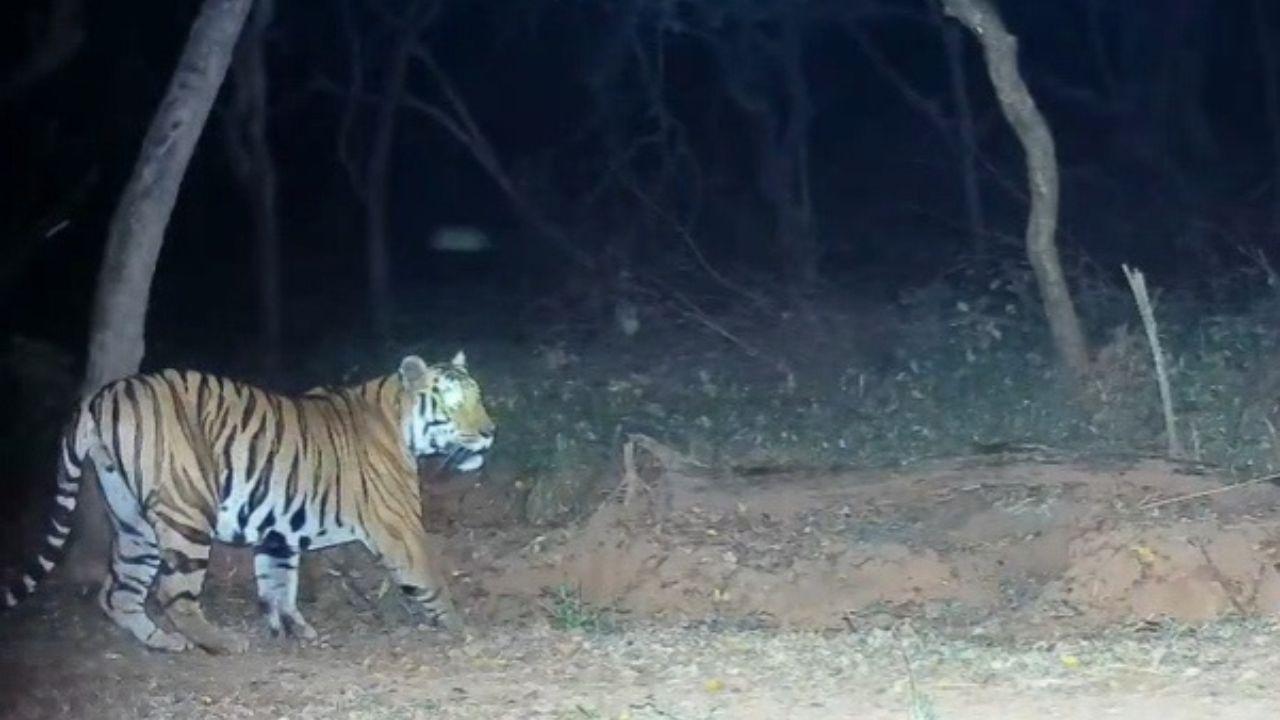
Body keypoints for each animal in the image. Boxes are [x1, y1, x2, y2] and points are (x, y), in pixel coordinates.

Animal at [1, 351, 494, 653]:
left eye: (480, 397)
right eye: (453, 403)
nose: (490, 431)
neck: (400, 420)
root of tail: (102, 395)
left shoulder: (279, 531)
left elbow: (278, 584)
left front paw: (292, 629)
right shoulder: (400, 527)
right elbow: (430, 578)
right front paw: (461, 628)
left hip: (132, 520)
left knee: (118, 592)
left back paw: (165, 643)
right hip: (188, 511)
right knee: (171, 592)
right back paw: (218, 642)